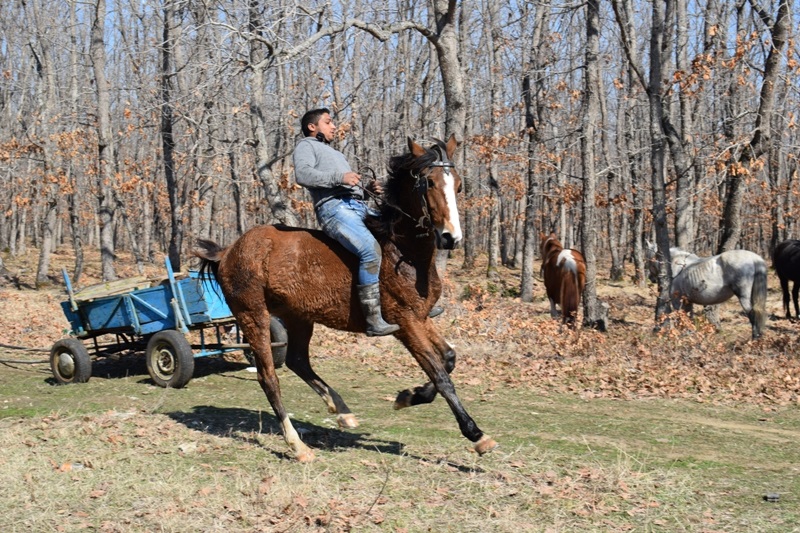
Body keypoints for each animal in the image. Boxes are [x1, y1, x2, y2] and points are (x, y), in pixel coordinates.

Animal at [194, 136, 494, 462]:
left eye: (459, 185)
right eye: (428, 182)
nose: (451, 238)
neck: (402, 251)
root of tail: (229, 250)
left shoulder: (421, 317)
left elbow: (449, 358)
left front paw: (408, 396)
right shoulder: (406, 323)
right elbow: (440, 374)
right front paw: (476, 434)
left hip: (297, 317)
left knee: (297, 360)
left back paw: (341, 410)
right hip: (253, 316)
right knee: (268, 377)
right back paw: (297, 445)